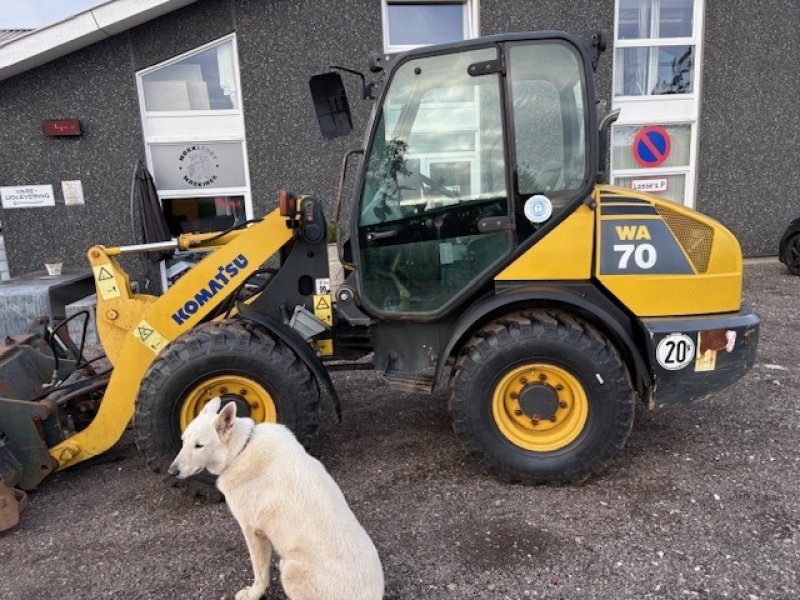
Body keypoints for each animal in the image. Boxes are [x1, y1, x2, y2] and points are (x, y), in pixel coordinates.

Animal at [168, 398, 384, 600]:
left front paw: (253, 593)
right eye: (183, 440)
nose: (172, 472)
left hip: (291, 570)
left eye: (199, 446)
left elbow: (260, 573)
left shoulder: (252, 531)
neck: (240, 450)